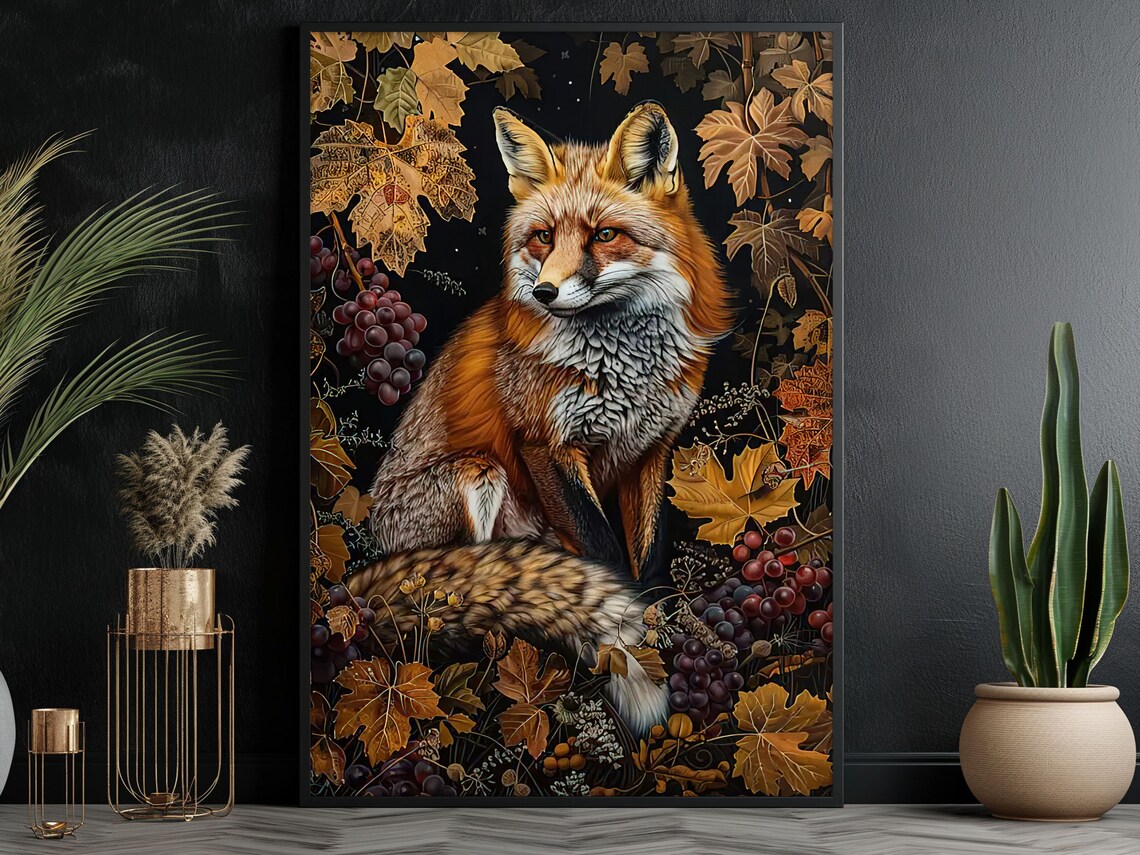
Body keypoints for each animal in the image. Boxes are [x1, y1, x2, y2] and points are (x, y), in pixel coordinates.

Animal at [348, 101, 732, 734]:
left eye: (604, 235)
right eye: (544, 236)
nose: (547, 292)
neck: (622, 366)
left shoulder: (651, 450)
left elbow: (648, 555)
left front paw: (661, 624)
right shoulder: (546, 444)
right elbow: (603, 552)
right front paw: (628, 636)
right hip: (477, 475)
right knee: (452, 593)